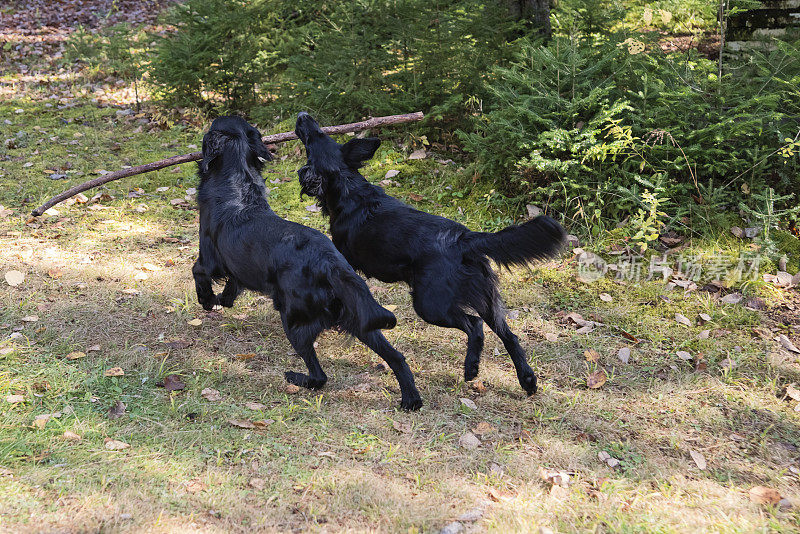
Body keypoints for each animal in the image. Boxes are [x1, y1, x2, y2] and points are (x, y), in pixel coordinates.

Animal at [193, 116, 422, 410]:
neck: (236, 185)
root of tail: (330, 264)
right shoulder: (236, 267)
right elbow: (232, 286)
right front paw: (224, 300)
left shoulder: (209, 259)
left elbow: (199, 273)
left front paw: (208, 300)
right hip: (361, 318)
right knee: (396, 357)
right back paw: (411, 398)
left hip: (293, 321)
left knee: (319, 376)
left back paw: (295, 377)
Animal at [296, 112, 564, 398]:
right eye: (321, 133)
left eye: (313, 139)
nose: (302, 116)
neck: (350, 188)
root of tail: (464, 238)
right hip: (486, 300)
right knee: (509, 336)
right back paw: (527, 380)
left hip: (430, 304)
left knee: (475, 326)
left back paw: (471, 368)